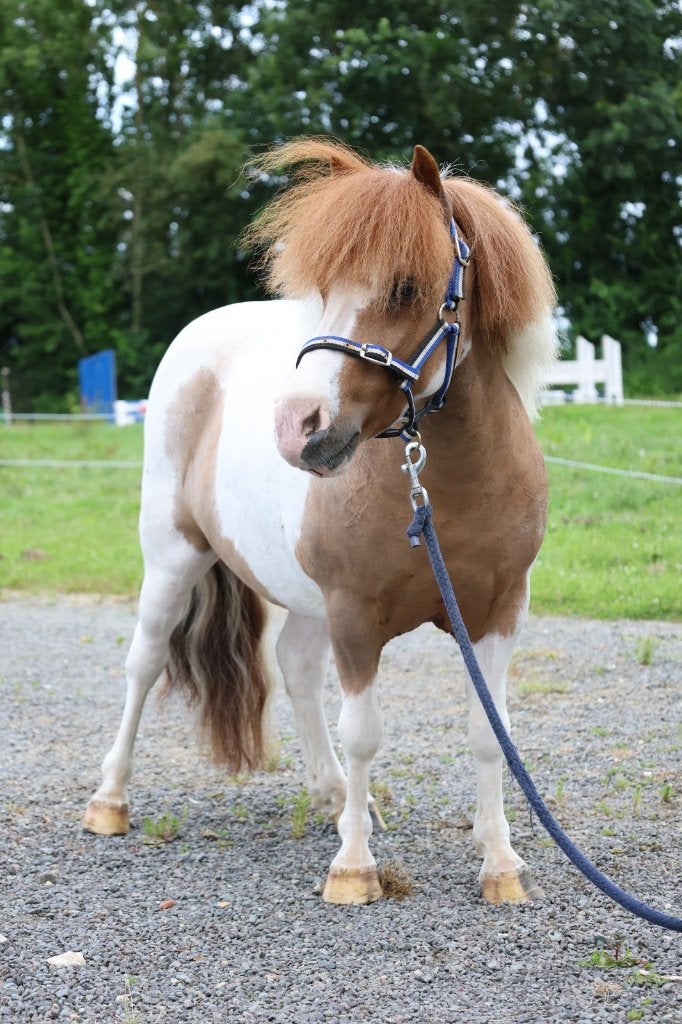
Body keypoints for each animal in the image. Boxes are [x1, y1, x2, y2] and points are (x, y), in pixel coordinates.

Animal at [83, 138, 557, 906]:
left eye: (405, 287)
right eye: (326, 289)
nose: (296, 426)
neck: (440, 486)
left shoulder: (498, 610)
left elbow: (492, 734)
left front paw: (501, 865)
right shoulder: (356, 616)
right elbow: (363, 730)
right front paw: (354, 869)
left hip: (305, 598)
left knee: (295, 668)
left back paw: (337, 797)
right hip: (174, 559)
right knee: (144, 662)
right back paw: (109, 802)